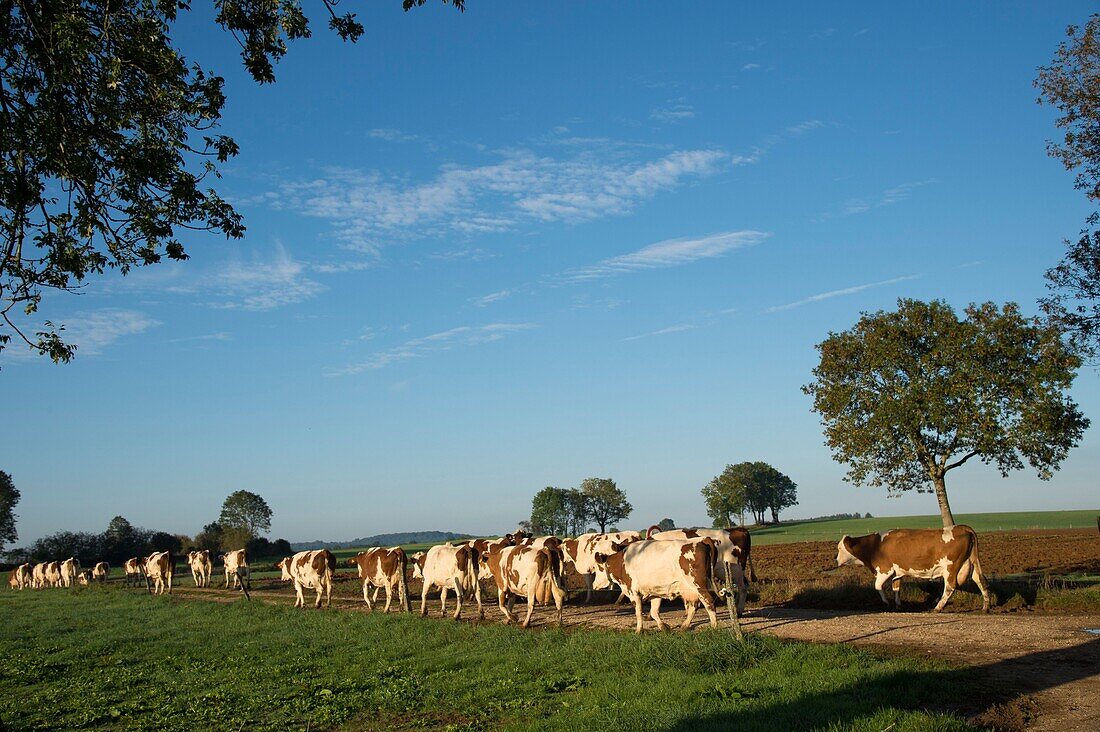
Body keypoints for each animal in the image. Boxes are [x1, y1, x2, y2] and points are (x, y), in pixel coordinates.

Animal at [598, 534, 726, 629]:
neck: (623, 560)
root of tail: (703, 539)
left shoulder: (633, 592)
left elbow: (638, 612)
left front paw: (639, 630)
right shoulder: (655, 592)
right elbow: (654, 612)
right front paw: (663, 627)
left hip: (698, 585)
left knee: (708, 602)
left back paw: (714, 626)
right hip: (690, 588)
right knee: (694, 606)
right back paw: (684, 627)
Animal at [836, 526, 994, 612]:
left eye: (839, 548)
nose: (835, 560)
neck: (874, 546)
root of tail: (961, 527)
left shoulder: (885, 570)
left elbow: (877, 586)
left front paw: (886, 603)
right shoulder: (897, 572)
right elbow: (896, 588)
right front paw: (898, 606)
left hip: (951, 567)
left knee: (950, 586)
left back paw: (938, 607)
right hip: (973, 563)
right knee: (980, 580)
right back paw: (986, 607)